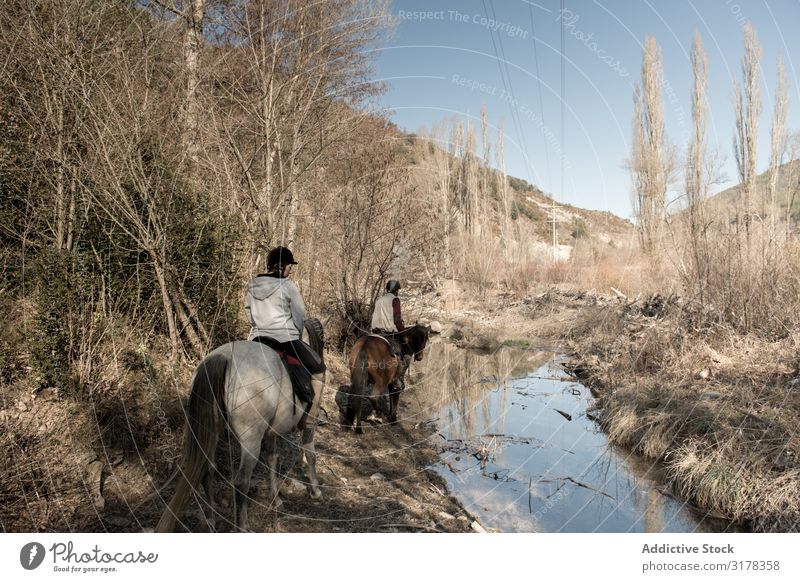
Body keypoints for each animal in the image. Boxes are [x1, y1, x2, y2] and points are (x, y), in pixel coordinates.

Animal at [156, 320, 324, 532]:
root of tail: (223, 357)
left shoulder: (271, 432)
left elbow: (273, 459)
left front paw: (276, 500)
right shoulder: (310, 423)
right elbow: (310, 454)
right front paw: (315, 490)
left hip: (214, 431)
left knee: (208, 470)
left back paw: (211, 518)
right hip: (250, 439)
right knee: (242, 481)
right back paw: (242, 525)